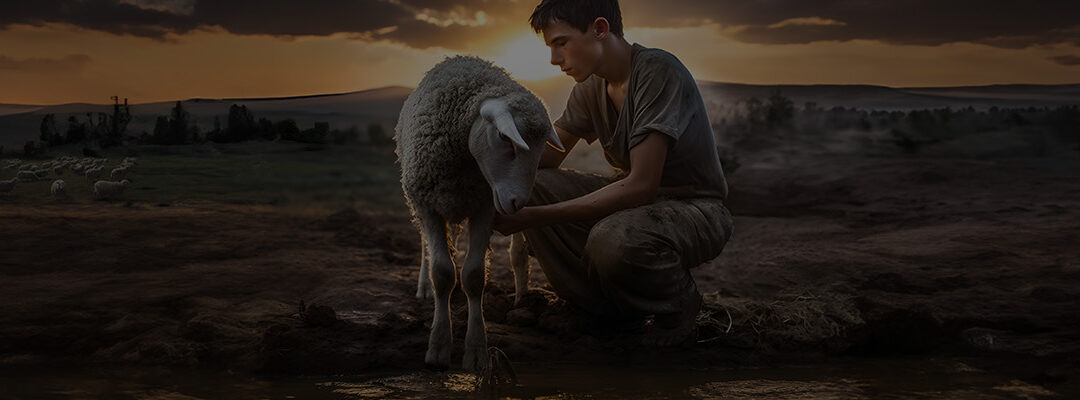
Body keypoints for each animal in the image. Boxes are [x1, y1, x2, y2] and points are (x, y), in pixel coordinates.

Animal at [397, 54, 565, 369]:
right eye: (503, 136)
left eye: (540, 148)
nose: (517, 203)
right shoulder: (427, 205)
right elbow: (442, 273)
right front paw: (439, 345)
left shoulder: (484, 207)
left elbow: (474, 276)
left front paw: (476, 350)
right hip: (419, 197)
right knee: (426, 245)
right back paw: (424, 287)